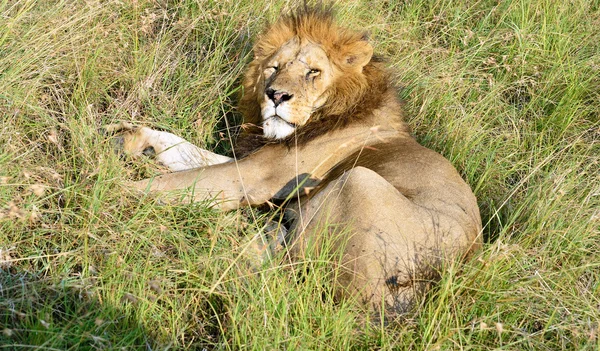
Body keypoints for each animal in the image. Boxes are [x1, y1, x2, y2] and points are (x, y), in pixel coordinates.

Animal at [106, 6, 482, 314]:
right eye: (274, 67)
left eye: (312, 72)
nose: (276, 95)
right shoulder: (254, 164)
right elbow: (184, 151)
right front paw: (130, 139)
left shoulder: (257, 176)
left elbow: (166, 183)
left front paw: (105, 190)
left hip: (358, 181)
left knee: (289, 270)